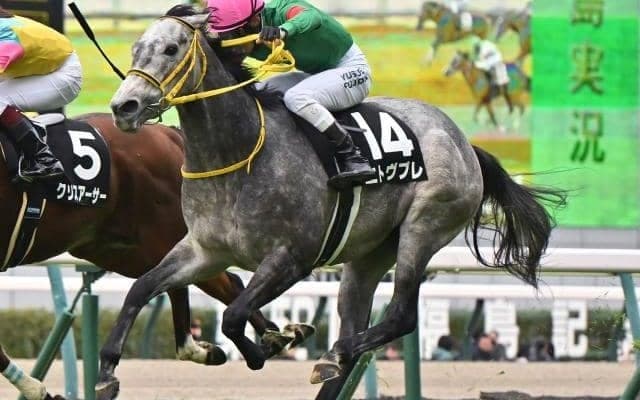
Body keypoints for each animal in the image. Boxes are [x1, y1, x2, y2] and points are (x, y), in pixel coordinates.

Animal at [0, 113, 304, 399]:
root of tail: (168, 134)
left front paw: (38, 389)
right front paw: (36, 389)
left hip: (164, 238)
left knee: (206, 284)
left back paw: (268, 338)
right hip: (116, 249)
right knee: (210, 284)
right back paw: (261, 340)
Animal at [96, 5, 566, 400]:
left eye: (171, 48)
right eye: (136, 48)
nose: (124, 107)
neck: (239, 155)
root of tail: (464, 142)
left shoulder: (292, 258)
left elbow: (233, 314)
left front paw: (268, 346)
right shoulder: (204, 251)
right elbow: (142, 288)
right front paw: (107, 372)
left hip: (424, 225)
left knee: (399, 316)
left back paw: (333, 353)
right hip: (367, 257)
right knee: (358, 327)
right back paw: (333, 361)